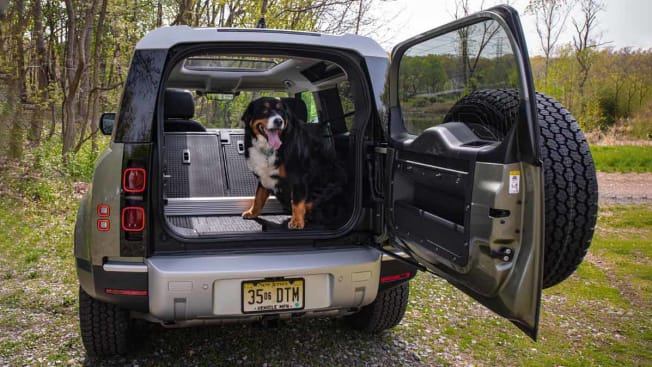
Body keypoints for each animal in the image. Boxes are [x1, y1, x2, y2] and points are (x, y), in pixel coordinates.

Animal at [241, 98, 346, 230]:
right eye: (264, 110)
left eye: (281, 111)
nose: (278, 121)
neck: (269, 150)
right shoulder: (263, 177)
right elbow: (258, 198)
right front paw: (252, 212)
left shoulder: (298, 177)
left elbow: (297, 201)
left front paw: (297, 221)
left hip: (327, 189)